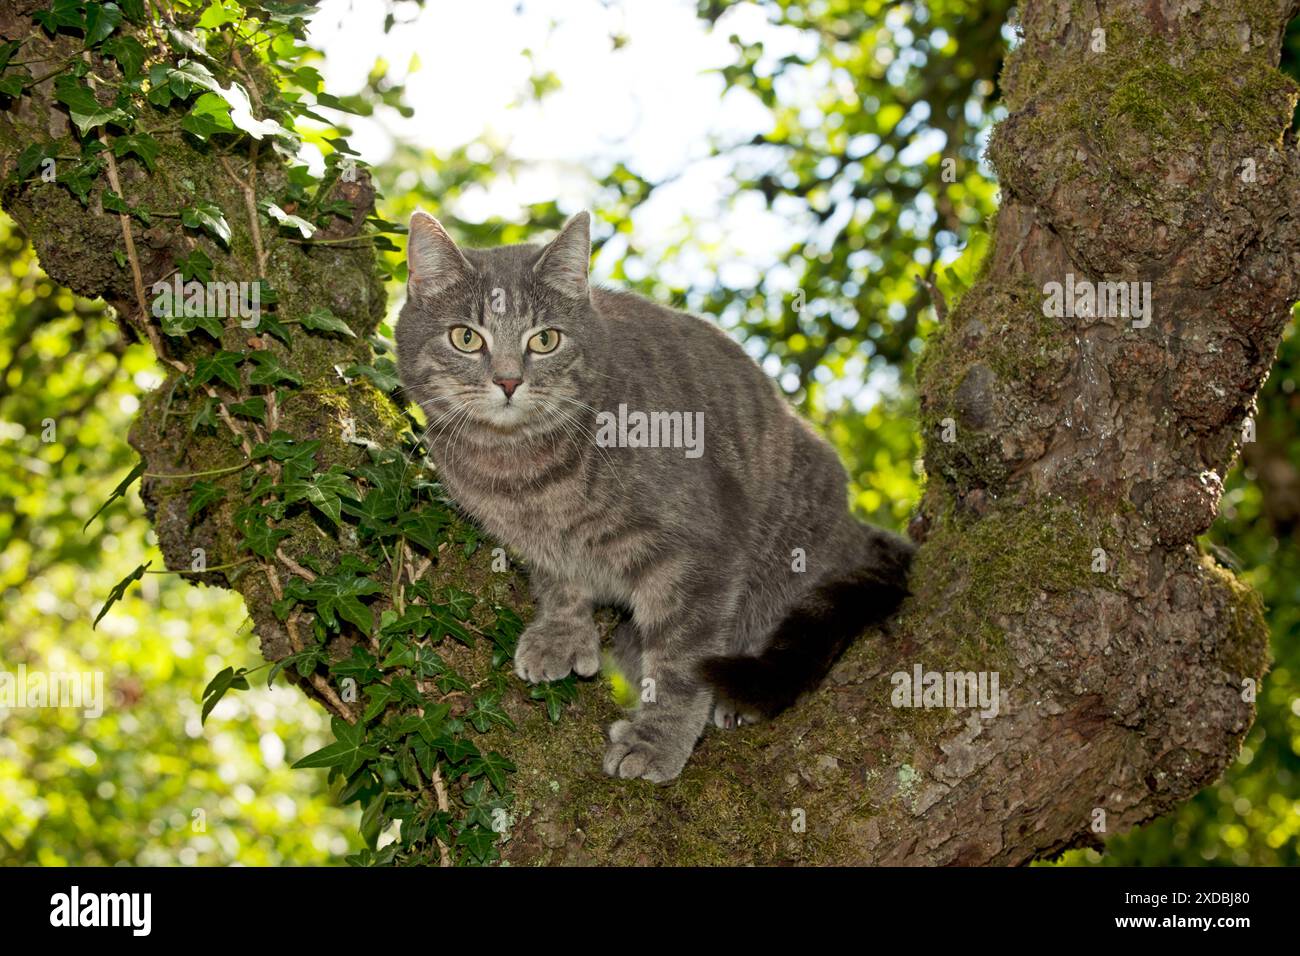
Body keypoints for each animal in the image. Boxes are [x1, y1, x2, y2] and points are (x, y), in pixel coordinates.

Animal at [395, 210, 915, 785]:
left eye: (545, 339)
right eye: (466, 337)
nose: (508, 381)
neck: (523, 475)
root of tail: (854, 528)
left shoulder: (700, 556)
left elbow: (681, 661)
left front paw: (657, 739)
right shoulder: (540, 544)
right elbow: (560, 584)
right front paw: (561, 634)